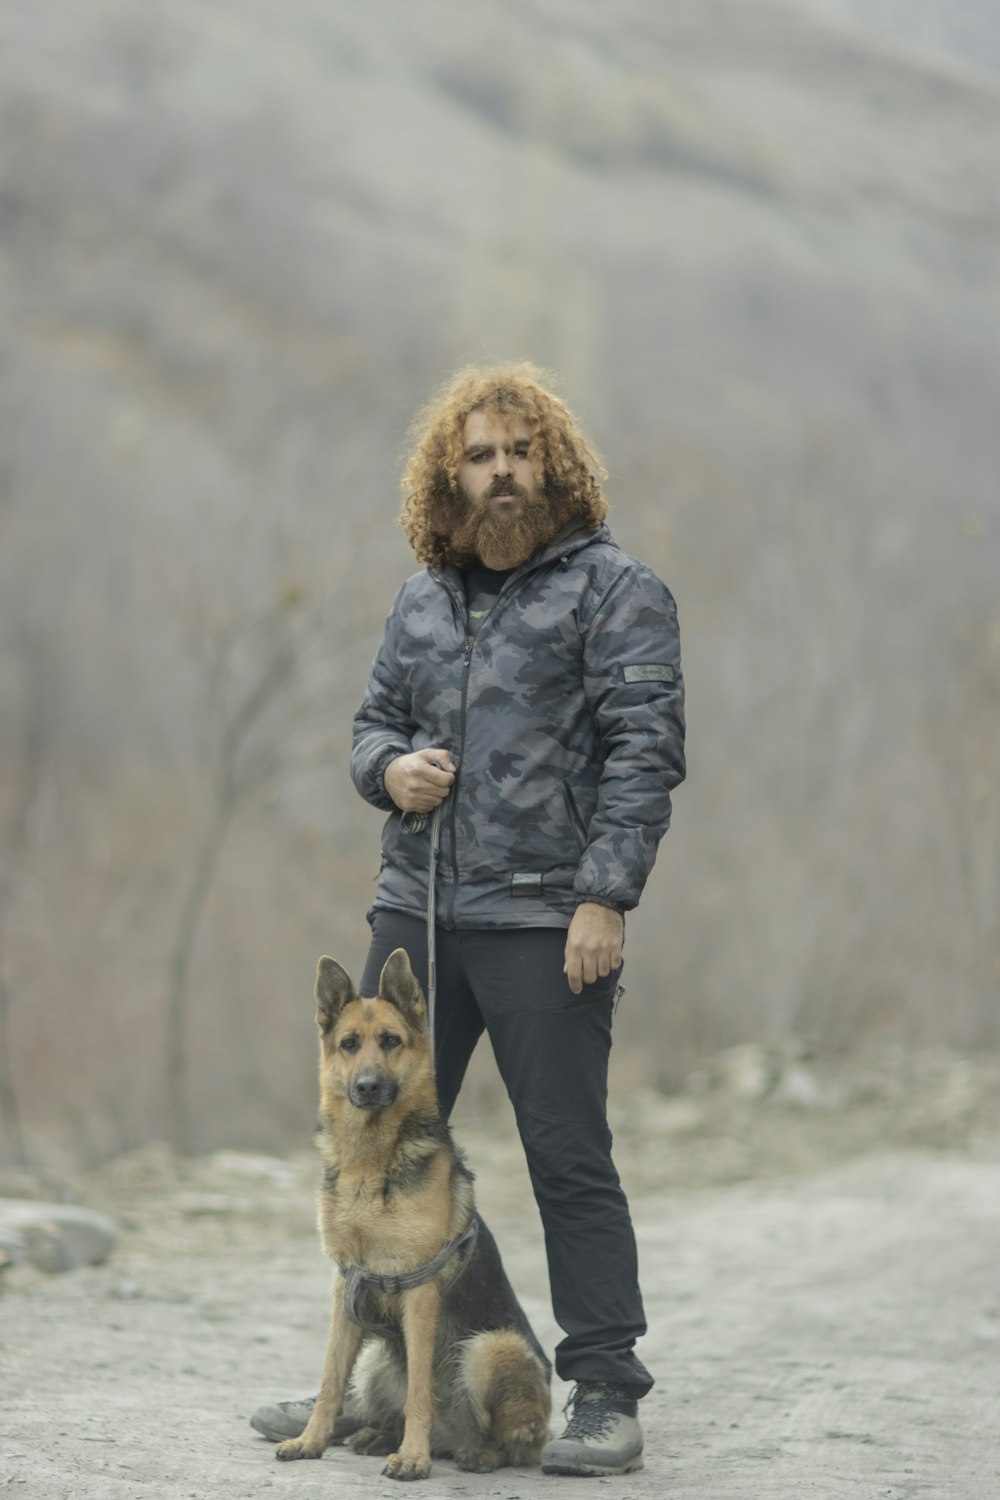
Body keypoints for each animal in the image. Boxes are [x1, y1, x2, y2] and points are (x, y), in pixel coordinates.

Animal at [274, 948, 551, 1476]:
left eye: (391, 1041)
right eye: (348, 1044)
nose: (367, 1087)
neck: (371, 1161)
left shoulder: (418, 1291)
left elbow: (421, 1388)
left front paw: (412, 1458)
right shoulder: (346, 1284)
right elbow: (330, 1380)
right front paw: (311, 1440)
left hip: (492, 1347)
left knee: (514, 1444)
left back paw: (471, 1453)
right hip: (378, 1361)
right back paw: (378, 1435)